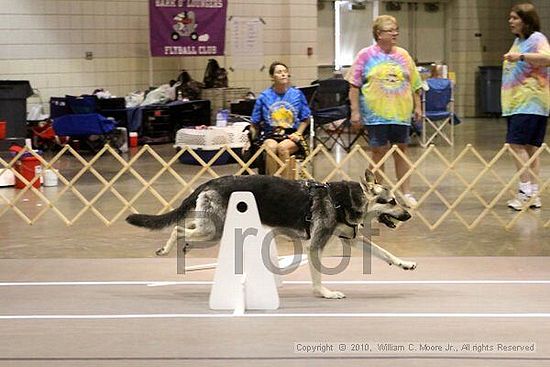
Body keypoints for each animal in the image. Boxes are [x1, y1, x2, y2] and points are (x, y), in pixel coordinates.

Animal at [127, 171, 416, 300]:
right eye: (391, 202)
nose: (409, 216)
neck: (344, 200)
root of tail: (211, 182)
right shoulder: (315, 246)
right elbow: (317, 277)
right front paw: (324, 293)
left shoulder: (352, 239)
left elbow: (385, 253)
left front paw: (404, 263)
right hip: (214, 231)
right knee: (178, 229)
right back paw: (169, 248)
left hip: (212, 229)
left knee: (185, 229)